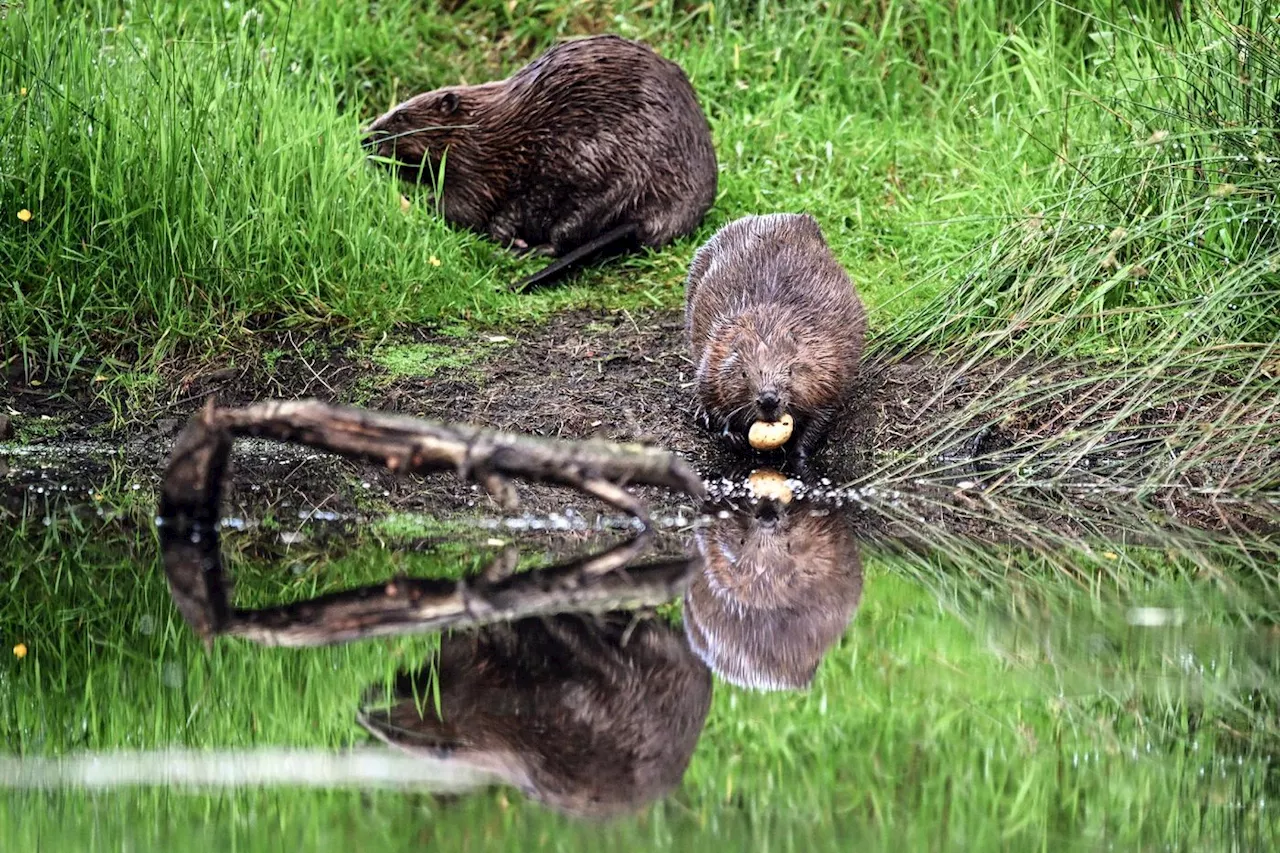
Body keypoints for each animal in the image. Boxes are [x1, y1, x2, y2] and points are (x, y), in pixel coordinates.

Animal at [363, 34, 721, 289]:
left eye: (401, 116)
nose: (365, 138)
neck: (479, 126)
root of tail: (657, 218)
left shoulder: (477, 165)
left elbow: (463, 208)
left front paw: (414, 203)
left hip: (600, 175)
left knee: (565, 235)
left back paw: (524, 249)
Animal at [680, 212, 870, 466]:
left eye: (790, 371)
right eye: (743, 373)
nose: (769, 399)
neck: (767, 329)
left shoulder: (829, 366)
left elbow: (822, 415)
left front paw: (798, 454)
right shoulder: (714, 356)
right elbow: (711, 397)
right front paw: (733, 437)